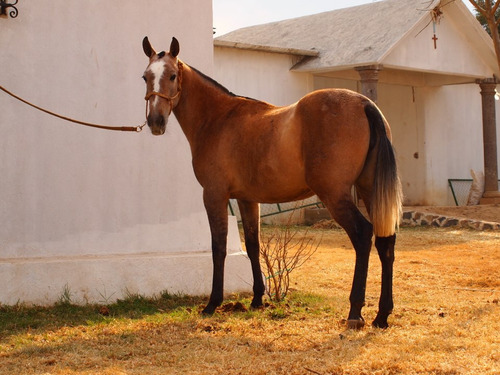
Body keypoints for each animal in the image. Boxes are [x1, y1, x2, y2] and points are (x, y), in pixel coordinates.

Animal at [141, 36, 402, 328]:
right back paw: (382, 314)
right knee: (385, 241)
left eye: (172, 76)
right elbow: (253, 245)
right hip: (369, 190)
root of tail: (365, 104)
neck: (218, 118)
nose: (155, 122)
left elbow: (219, 247)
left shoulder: (214, 195)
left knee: (363, 235)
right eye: (145, 77)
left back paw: (355, 312)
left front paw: (212, 303)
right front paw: (257, 299)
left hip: (335, 196)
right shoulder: (246, 199)